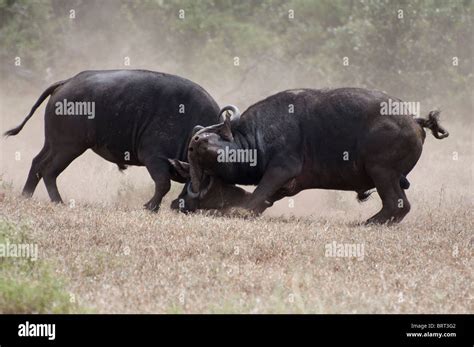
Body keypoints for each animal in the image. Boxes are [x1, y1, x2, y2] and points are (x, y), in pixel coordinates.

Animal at [2, 70, 221, 212]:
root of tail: (66, 83)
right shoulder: (155, 158)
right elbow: (163, 184)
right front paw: (151, 207)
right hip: (68, 147)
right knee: (49, 171)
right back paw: (58, 201)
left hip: (53, 144)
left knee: (37, 164)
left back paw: (26, 195)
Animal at [169, 86, 448, 223]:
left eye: (201, 141)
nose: (194, 143)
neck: (255, 139)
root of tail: (415, 120)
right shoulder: (287, 186)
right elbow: (259, 200)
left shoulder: (281, 170)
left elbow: (254, 198)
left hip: (382, 171)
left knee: (397, 204)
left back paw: (367, 223)